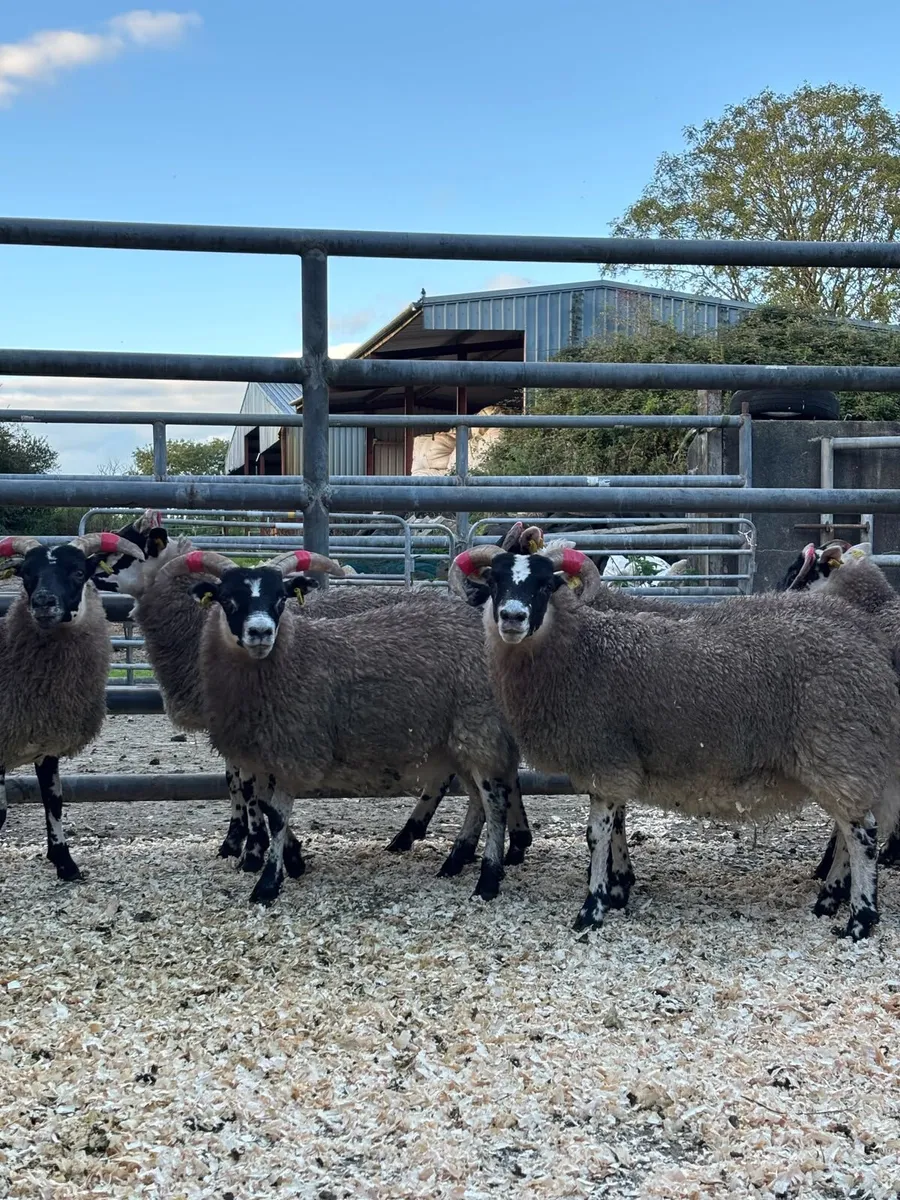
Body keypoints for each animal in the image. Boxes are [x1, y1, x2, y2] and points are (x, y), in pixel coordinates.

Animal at [0, 531, 144, 879]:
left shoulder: (47, 743)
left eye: (78, 572)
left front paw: (65, 863)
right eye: (26, 574)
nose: (43, 602)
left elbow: (53, 800)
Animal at [449, 544, 900, 940]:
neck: (582, 650)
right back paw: (829, 902)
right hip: (846, 754)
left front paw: (592, 909)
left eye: (545, 585)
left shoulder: (604, 757)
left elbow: (596, 836)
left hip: (839, 747)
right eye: (494, 580)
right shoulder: (620, 761)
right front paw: (618, 889)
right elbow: (616, 827)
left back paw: (859, 920)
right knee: (849, 829)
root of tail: (870, 642)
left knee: (861, 834)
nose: (512, 617)